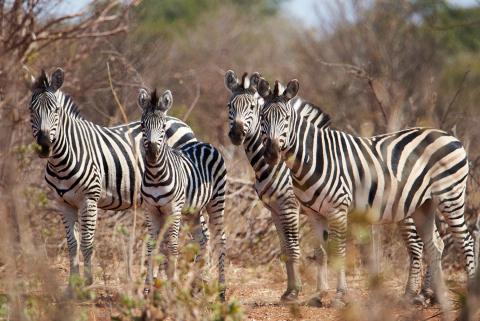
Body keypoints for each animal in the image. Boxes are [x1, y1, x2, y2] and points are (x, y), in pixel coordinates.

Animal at [29, 69, 198, 284]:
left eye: (56, 110)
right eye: (31, 110)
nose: (44, 145)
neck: (63, 158)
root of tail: (181, 122)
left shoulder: (89, 199)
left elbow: (87, 242)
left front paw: (87, 283)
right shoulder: (63, 203)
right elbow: (72, 244)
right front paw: (72, 285)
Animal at [138, 86, 228, 298]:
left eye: (163, 127)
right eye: (142, 125)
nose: (152, 152)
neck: (155, 175)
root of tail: (205, 143)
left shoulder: (173, 210)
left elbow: (172, 246)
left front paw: (172, 287)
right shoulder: (150, 210)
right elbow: (152, 246)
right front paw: (148, 290)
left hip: (216, 201)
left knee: (219, 239)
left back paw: (221, 292)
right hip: (193, 210)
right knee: (202, 239)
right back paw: (198, 286)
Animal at [256, 76, 474, 308]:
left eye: (286, 118)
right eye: (262, 117)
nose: (271, 153)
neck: (313, 157)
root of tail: (449, 136)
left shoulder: (338, 209)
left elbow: (338, 251)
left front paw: (340, 296)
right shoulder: (314, 214)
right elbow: (321, 252)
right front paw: (319, 295)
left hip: (450, 196)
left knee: (465, 240)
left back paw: (468, 294)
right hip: (424, 205)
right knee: (435, 245)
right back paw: (431, 296)